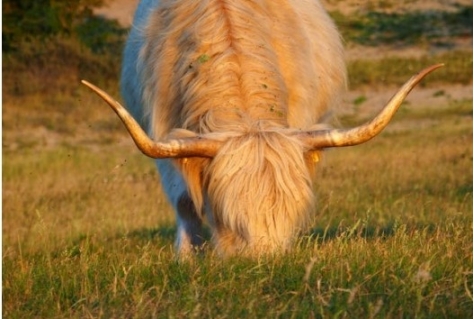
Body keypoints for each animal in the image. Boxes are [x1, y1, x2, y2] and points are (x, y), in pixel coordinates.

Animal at [81, 0, 440, 258]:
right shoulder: (163, 134)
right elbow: (185, 202)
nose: (263, 261)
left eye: (292, 213)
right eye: (228, 216)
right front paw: (187, 259)